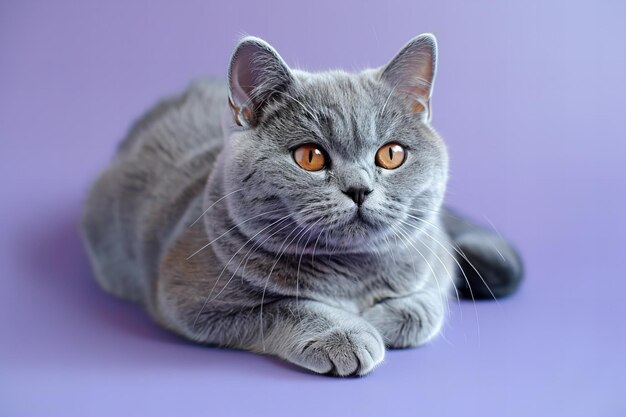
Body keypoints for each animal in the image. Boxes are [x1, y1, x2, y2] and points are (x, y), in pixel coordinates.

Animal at [81, 34, 520, 376]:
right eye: (310, 157)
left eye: (391, 154)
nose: (359, 189)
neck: (352, 273)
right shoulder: (187, 298)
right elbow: (286, 306)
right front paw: (347, 333)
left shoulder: (434, 253)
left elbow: (429, 302)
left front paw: (382, 318)